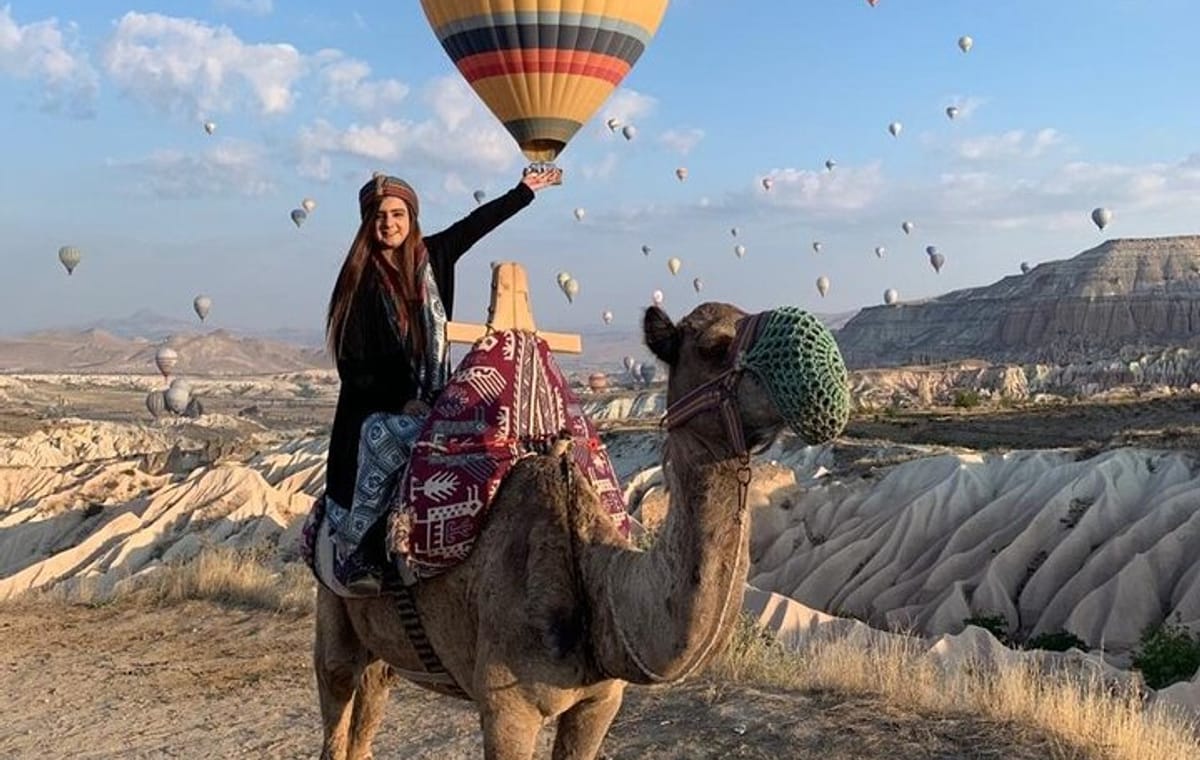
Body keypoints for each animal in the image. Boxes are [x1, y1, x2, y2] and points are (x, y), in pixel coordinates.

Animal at [314, 302, 828, 760]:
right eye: (714, 346)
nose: (814, 361)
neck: (595, 579)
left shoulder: (600, 701)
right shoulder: (506, 708)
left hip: (388, 649)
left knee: (371, 702)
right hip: (334, 611)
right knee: (337, 700)